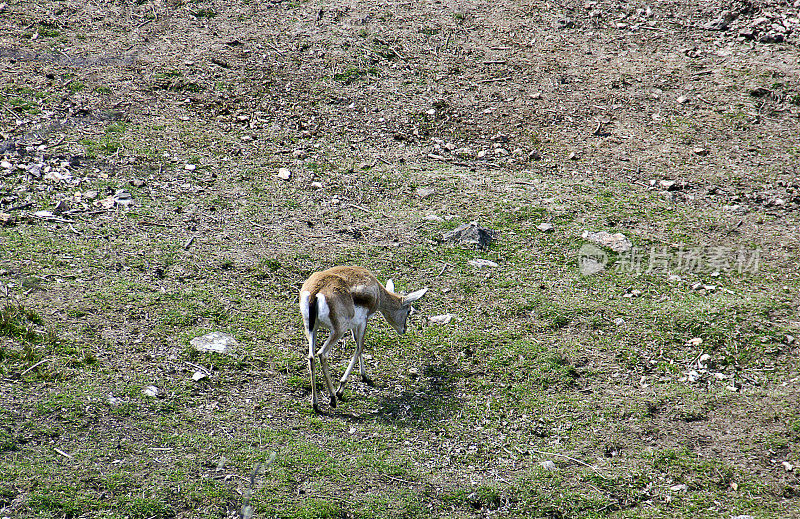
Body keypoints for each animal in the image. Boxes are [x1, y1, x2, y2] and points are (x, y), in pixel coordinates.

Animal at [298, 266, 428, 412]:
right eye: (408, 311)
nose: (404, 329)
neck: (377, 291)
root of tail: (316, 292)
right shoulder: (363, 321)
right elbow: (360, 347)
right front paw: (341, 388)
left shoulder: (355, 324)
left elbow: (357, 344)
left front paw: (364, 375)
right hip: (338, 330)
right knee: (322, 354)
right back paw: (332, 398)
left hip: (311, 328)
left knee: (311, 357)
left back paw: (315, 404)